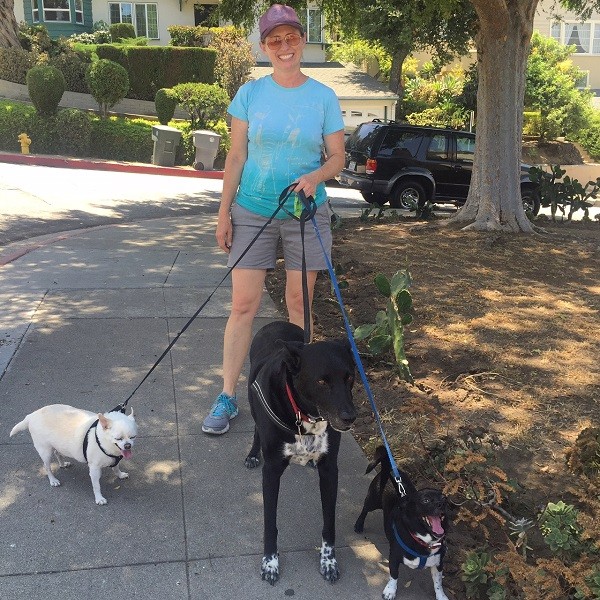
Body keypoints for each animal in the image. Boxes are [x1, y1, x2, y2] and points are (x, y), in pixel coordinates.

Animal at [9, 404, 137, 506]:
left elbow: (116, 467)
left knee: (57, 453)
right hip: (45, 452)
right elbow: (96, 485)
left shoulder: (115, 459)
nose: (127, 445)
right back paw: (53, 480)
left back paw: (62, 464)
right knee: (47, 467)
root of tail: (31, 415)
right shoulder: (94, 469)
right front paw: (99, 498)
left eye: (133, 437)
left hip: (57, 445)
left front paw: (120, 474)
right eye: (118, 438)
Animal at [244, 322, 356, 584]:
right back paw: (253, 453)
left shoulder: (330, 470)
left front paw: (328, 561)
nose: (350, 417)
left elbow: (329, 522)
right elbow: (270, 523)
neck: (305, 417)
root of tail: (276, 323)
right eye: (322, 382)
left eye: (349, 377)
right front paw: (270, 562)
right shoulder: (272, 472)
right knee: (256, 427)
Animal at [354, 446, 448, 600]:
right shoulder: (394, 558)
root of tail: (390, 469)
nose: (442, 504)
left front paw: (441, 596)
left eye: (444, 497)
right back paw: (359, 525)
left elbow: (438, 582)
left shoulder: (438, 563)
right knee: (364, 510)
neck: (424, 540)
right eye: (426, 500)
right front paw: (390, 591)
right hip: (373, 500)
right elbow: (394, 575)